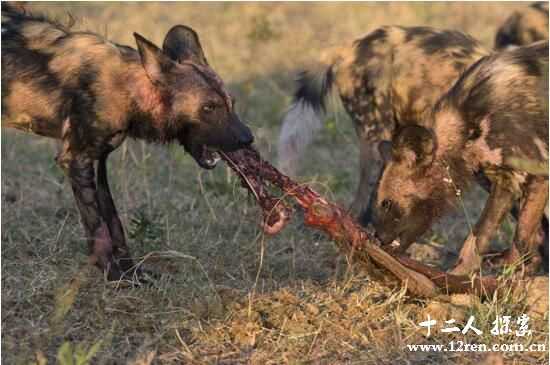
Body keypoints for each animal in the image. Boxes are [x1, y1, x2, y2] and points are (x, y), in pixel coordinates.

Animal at [0, 4, 254, 280]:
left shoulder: (99, 161)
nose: (248, 138)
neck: (127, 87)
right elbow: (98, 228)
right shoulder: (76, 160)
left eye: (232, 104)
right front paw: (113, 275)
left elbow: (114, 225)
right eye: (208, 107)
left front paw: (131, 272)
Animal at [374, 41, 548, 274]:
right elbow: (511, 234)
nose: (377, 237)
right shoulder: (506, 181)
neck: (466, 125)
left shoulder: (535, 175)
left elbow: (502, 234)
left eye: (386, 203)